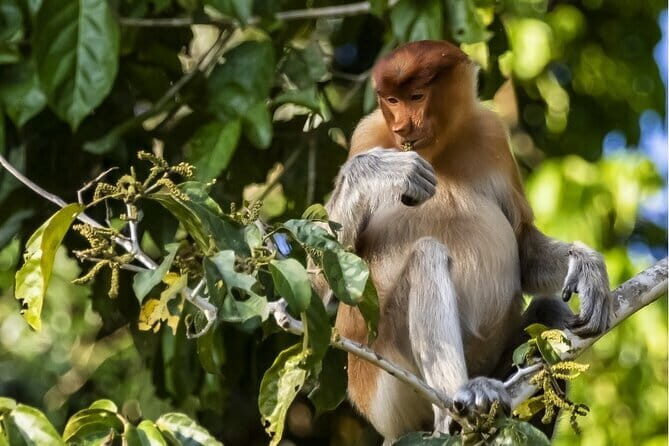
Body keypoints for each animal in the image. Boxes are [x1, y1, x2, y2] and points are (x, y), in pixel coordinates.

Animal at [320, 40, 612, 443]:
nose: (401, 127)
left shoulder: (492, 134)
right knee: (426, 256)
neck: (440, 150)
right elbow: (324, 284)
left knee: (548, 314)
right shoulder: (365, 133)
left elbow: (524, 248)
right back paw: (463, 397)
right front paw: (379, 170)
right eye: (391, 100)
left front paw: (587, 267)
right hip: (388, 382)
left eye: (416, 96)